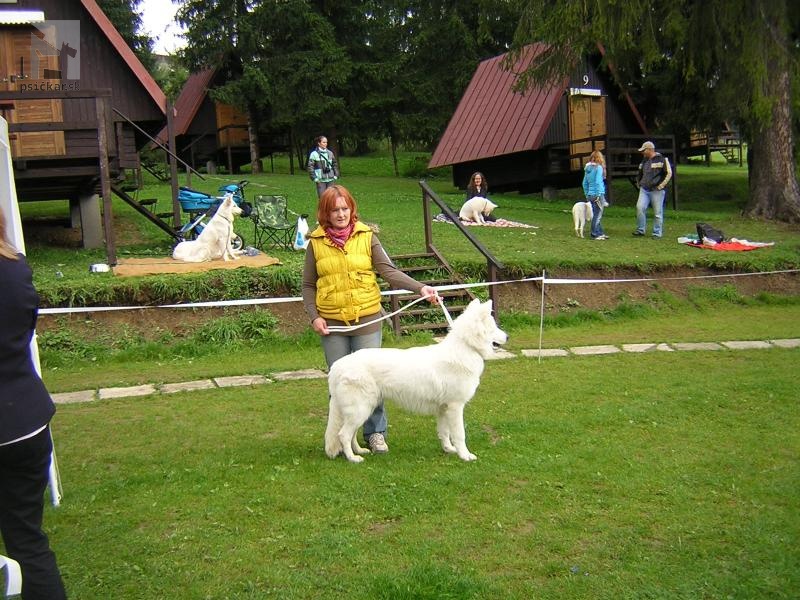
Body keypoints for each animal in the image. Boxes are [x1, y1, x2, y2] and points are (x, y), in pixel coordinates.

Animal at [324, 300, 506, 464]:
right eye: (494, 327)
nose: (508, 336)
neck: (466, 347)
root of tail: (337, 366)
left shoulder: (443, 408)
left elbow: (444, 432)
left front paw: (448, 449)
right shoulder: (455, 407)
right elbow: (460, 434)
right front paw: (465, 456)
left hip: (362, 409)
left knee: (351, 433)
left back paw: (360, 450)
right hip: (360, 409)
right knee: (343, 434)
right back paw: (353, 458)